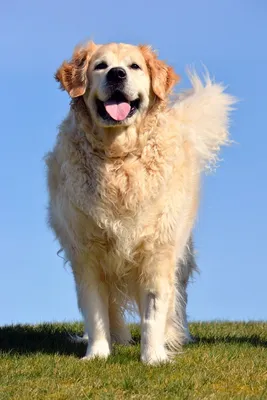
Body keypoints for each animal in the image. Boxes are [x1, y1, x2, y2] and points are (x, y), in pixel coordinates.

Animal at [46, 42, 237, 364]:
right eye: (100, 66)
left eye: (134, 66)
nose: (117, 74)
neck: (118, 158)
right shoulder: (86, 252)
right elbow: (95, 308)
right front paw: (97, 353)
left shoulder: (158, 249)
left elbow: (154, 310)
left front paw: (154, 357)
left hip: (181, 250)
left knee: (178, 298)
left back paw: (175, 336)